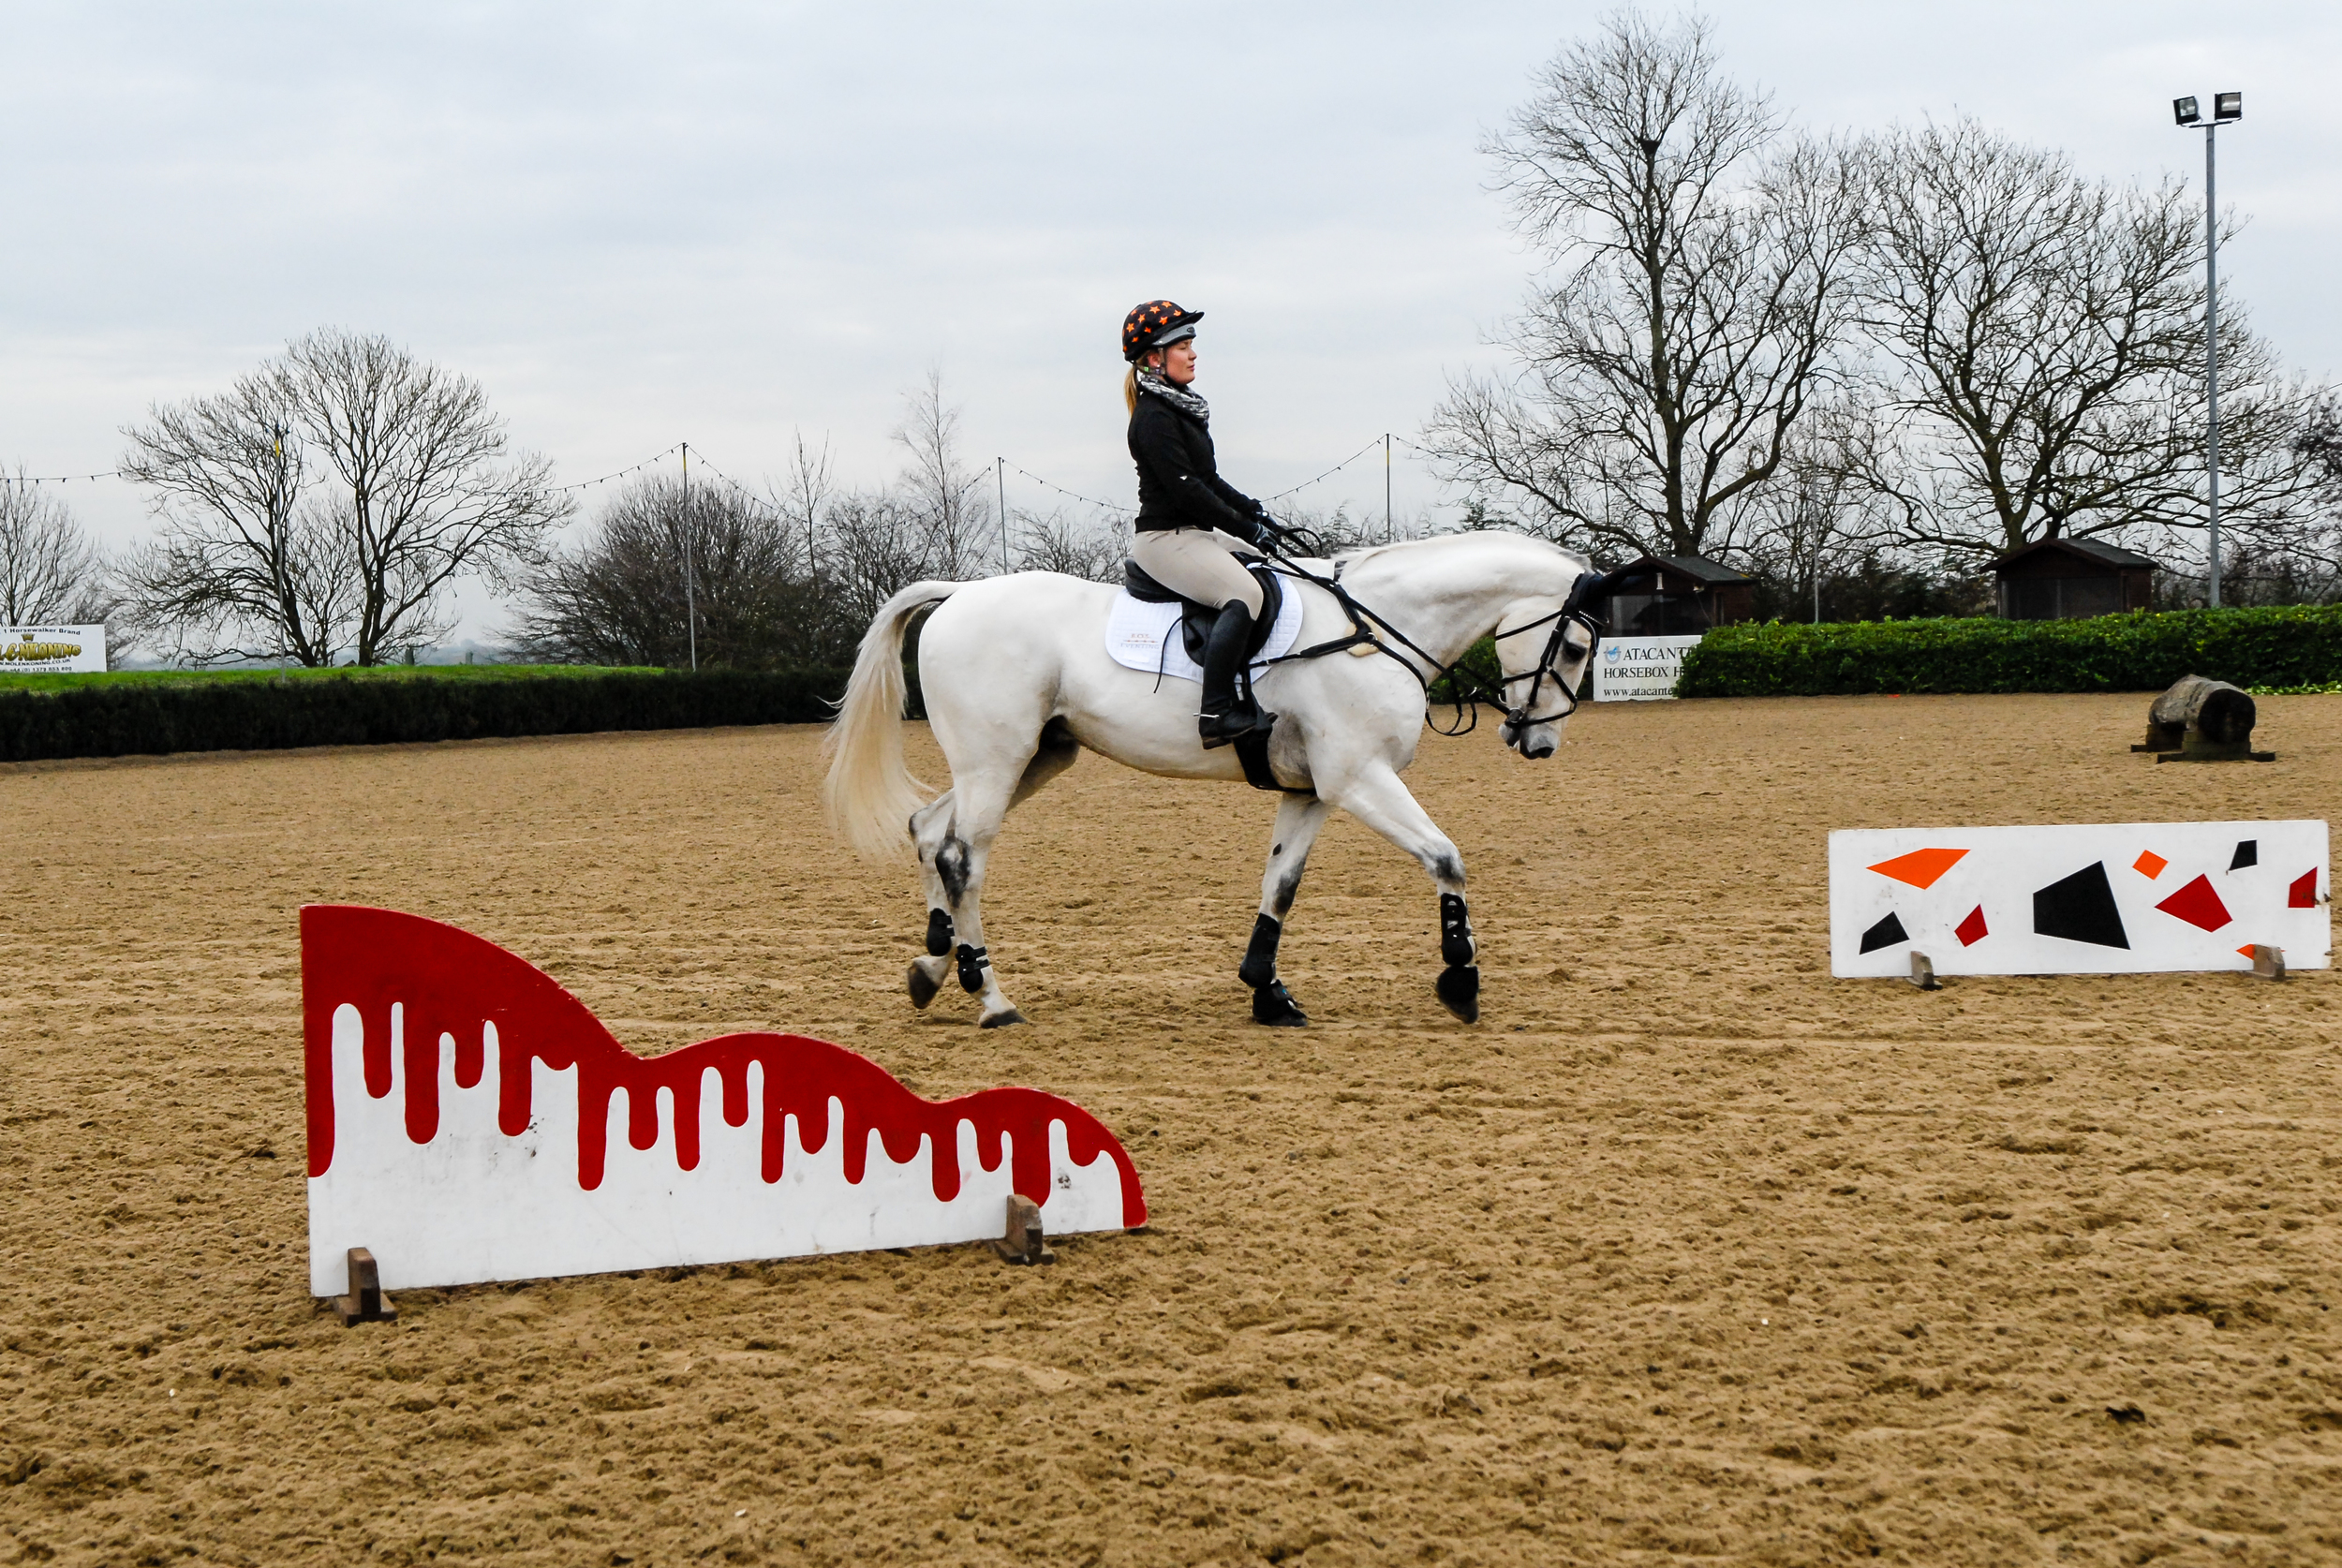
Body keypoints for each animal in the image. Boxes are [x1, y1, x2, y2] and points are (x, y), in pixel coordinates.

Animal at [820, 529, 1604, 1028]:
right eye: (1573, 646)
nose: (1537, 743)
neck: (1375, 632)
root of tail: (959, 595)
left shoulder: (1310, 791)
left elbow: (1281, 885)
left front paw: (1268, 994)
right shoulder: (1359, 778)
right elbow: (1445, 858)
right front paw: (1460, 978)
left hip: (1032, 758)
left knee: (928, 831)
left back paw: (933, 968)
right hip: (996, 761)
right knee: (963, 860)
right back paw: (992, 999)